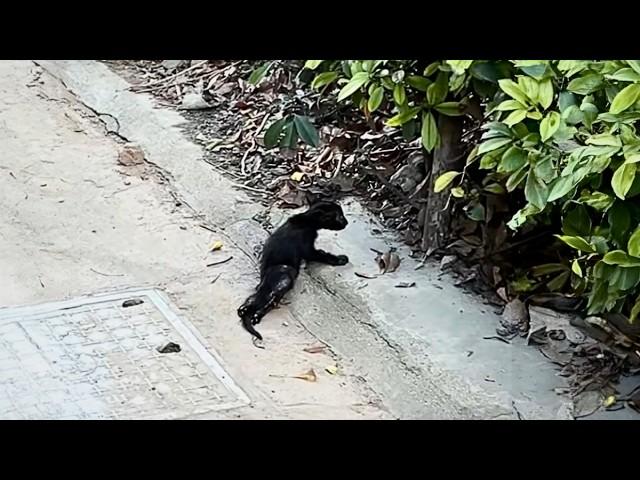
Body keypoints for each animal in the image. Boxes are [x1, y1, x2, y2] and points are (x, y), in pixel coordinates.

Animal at [239, 201, 350, 340]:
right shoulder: (308, 248)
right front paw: (341, 259)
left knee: (254, 299)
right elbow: (322, 255)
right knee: (270, 301)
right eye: (340, 216)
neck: (306, 220)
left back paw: (244, 310)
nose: (346, 222)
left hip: (261, 289)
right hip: (287, 273)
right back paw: (256, 316)